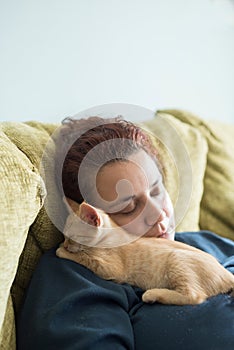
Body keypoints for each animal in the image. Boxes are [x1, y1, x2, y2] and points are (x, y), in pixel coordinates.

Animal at [56, 198, 234, 304]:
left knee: (194, 296)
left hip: (177, 260)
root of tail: (226, 274)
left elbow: (83, 257)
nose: (65, 244)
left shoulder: (111, 269)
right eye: (64, 236)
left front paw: (62, 252)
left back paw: (151, 294)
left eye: (72, 237)